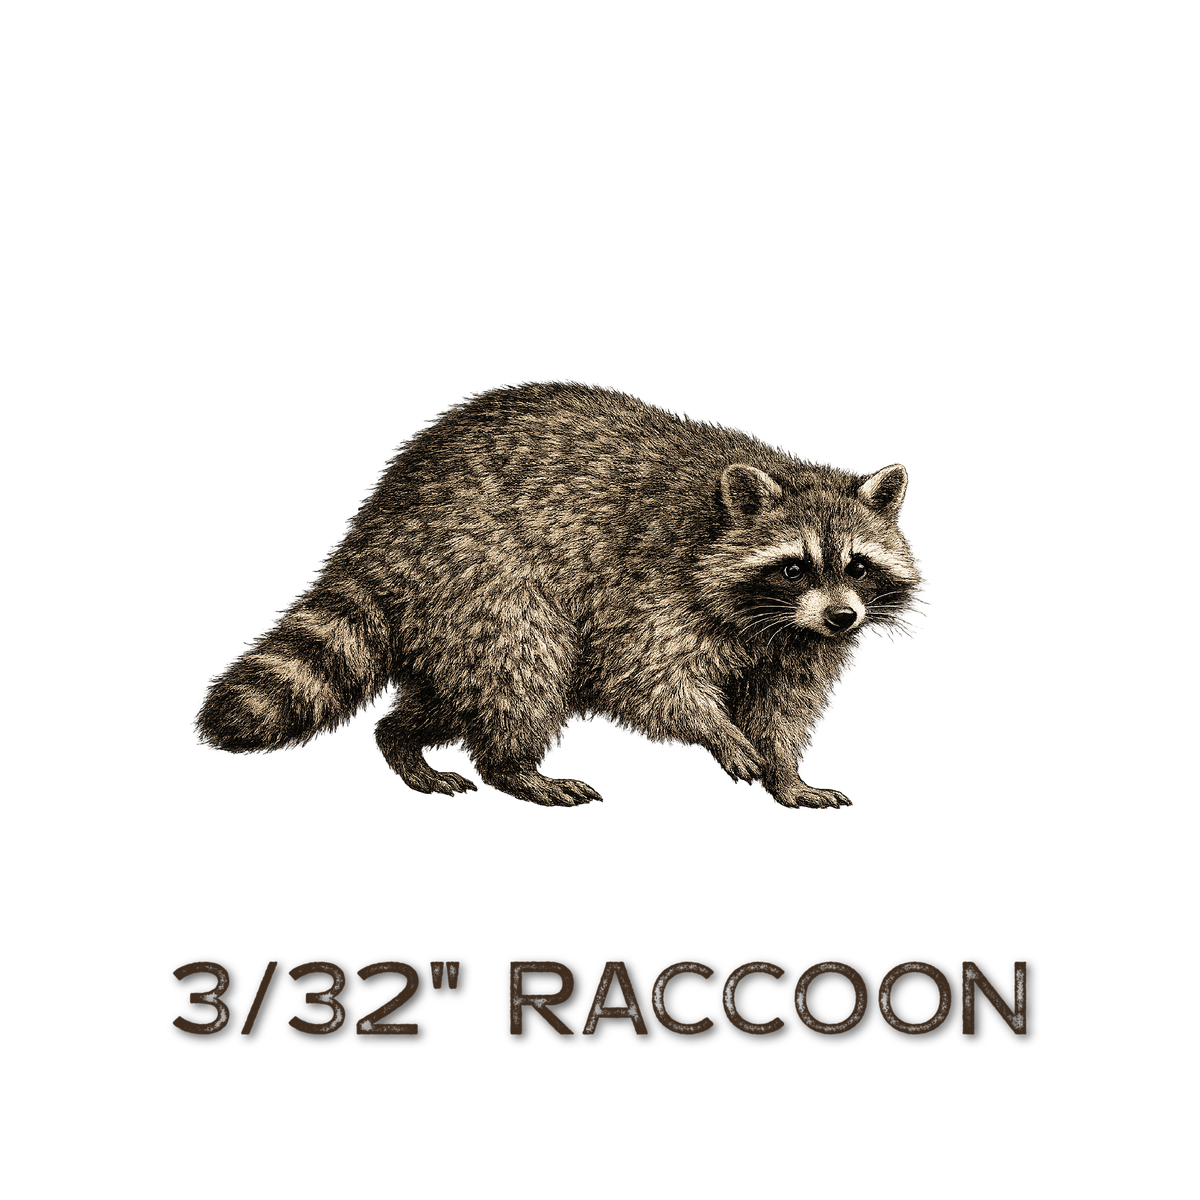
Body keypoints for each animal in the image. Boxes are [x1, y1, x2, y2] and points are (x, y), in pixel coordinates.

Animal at [188, 377, 933, 814]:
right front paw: (717, 732)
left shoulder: (805, 643)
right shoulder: (654, 578)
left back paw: (405, 744)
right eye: (793, 568)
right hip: (482, 572)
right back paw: (515, 768)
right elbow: (643, 677)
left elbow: (787, 703)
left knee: (451, 692)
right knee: (522, 673)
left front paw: (783, 773)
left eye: (859, 566)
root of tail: (378, 517)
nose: (842, 616)